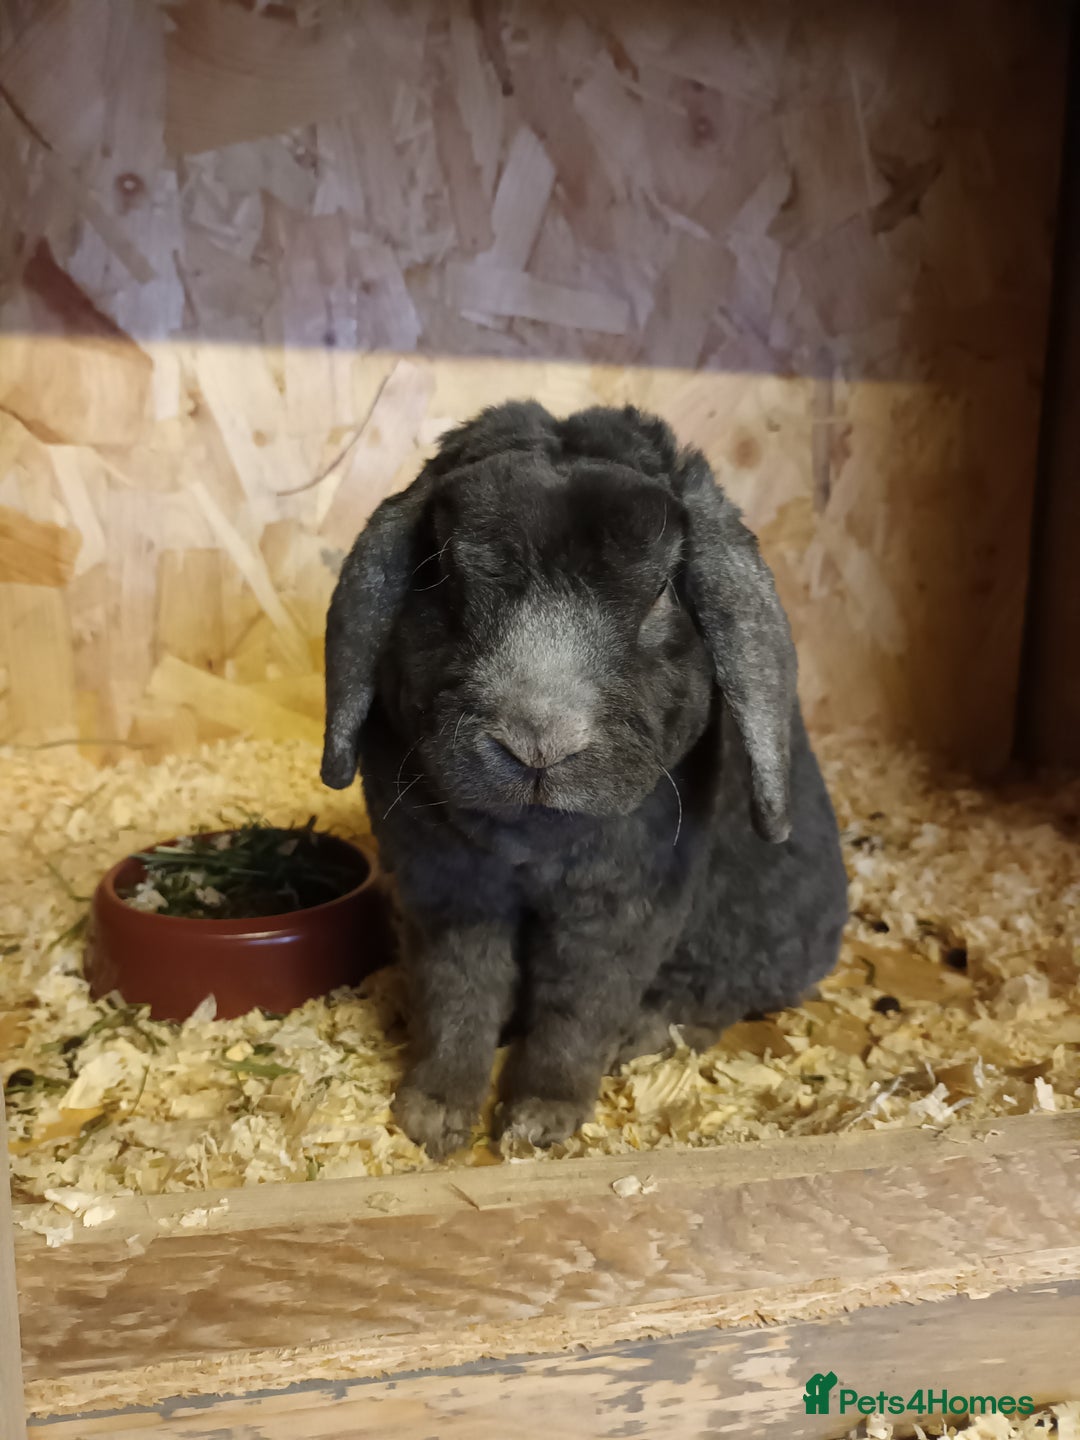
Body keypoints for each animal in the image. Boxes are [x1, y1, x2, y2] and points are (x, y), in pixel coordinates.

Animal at [321, 402, 848, 1158]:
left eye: (660, 594)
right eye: (443, 574)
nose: (538, 741)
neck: (532, 838)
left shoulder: (620, 913)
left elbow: (580, 1009)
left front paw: (537, 1123)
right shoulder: (448, 896)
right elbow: (458, 993)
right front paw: (432, 1116)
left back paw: (648, 1034)